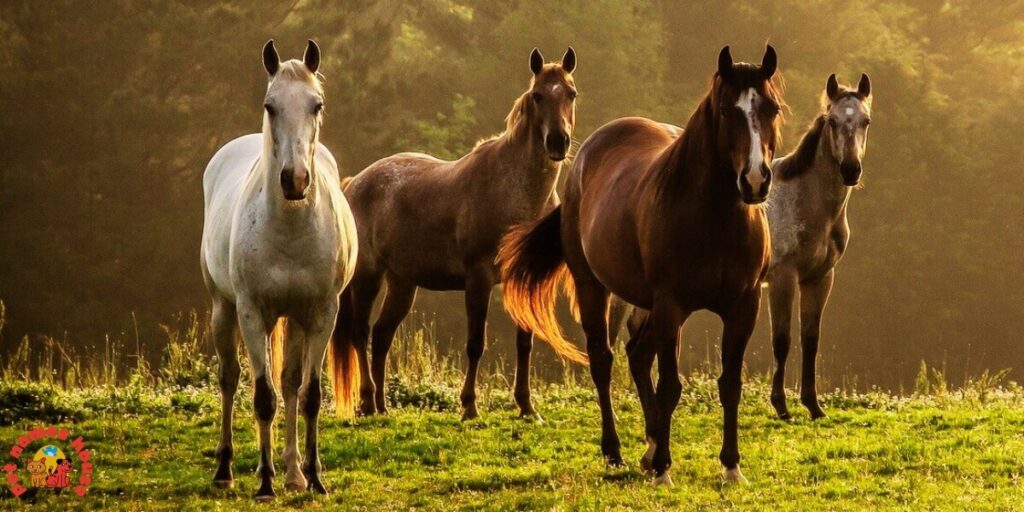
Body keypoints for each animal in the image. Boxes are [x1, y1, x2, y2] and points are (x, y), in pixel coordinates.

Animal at [200, 40, 358, 500]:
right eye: (270, 106)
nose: (295, 180)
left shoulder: (321, 315)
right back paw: (227, 469)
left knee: (289, 383)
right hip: (224, 310)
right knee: (230, 379)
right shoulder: (253, 313)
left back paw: (293, 472)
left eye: (316, 105)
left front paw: (314, 478)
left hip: (295, 320)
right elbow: (263, 397)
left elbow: (308, 395)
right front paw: (265, 483)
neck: (288, 228)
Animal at [330, 47, 586, 421]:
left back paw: (381, 406)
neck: (514, 192)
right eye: (538, 95)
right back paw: (365, 401)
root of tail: (354, 184)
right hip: (367, 276)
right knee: (360, 334)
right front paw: (469, 407)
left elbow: (524, 343)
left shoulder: (519, 279)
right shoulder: (478, 279)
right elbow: (475, 343)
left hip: (402, 283)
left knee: (382, 335)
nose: (557, 142)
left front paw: (526, 407)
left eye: (571, 93)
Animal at [499, 46, 783, 485]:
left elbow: (730, 385)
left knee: (636, 354)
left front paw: (731, 466)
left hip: (646, 304)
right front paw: (665, 467)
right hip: (594, 287)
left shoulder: (743, 307)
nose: (755, 181)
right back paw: (616, 451)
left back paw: (648, 449)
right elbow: (670, 386)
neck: (715, 220)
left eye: (771, 108)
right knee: (604, 360)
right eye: (725, 110)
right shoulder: (671, 306)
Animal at [766, 73, 872, 420]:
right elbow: (782, 339)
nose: (851, 169)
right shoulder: (783, 279)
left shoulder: (819, 278)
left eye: (866, 120)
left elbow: (810, 339)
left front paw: (813, 405)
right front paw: (781, 405)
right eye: (833, 121)